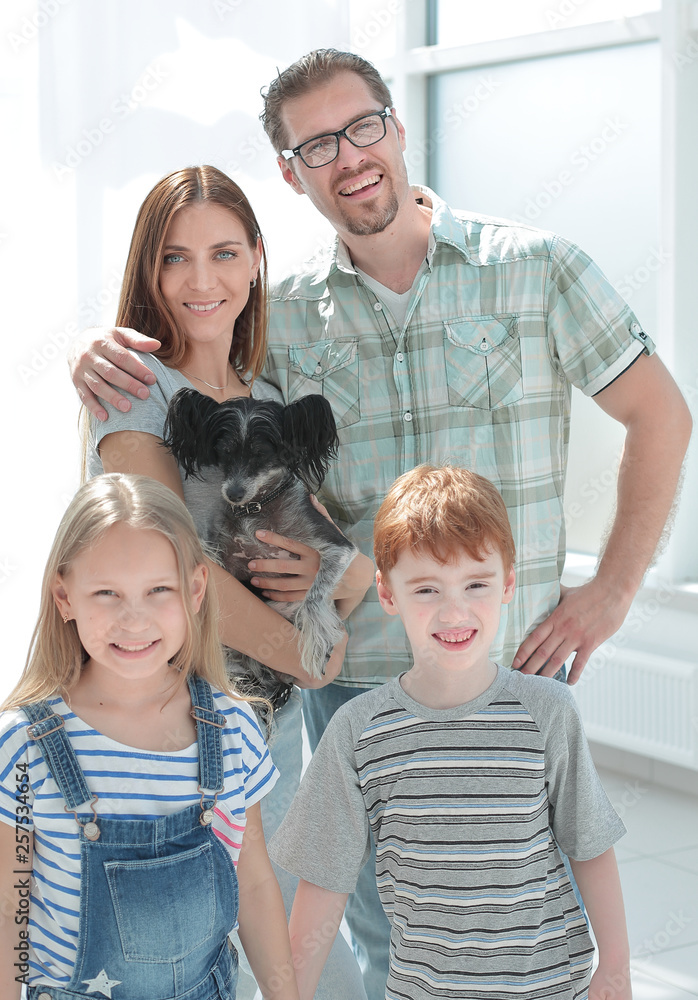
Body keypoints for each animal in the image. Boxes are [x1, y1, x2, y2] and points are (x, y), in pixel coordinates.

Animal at [163, 390, 356, 696]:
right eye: (224, 451)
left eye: (262, 453)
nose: (233, 494)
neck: (255, 508)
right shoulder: (228, 562)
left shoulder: (339, 547)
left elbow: (314, 599)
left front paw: (317, 644)